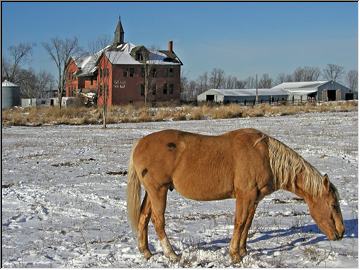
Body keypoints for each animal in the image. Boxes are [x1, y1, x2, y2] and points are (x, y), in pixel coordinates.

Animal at [126, 127, 344, 262]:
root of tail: (140, 143)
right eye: (333, 205)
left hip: (152, 192)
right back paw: (172, 255)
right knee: (158, 220)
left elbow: (247, 224)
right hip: (158, 191)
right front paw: (234, 255)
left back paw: (146, 252)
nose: (341, 234)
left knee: (144, 217)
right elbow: (239, 223)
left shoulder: (254, 199)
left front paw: (243, 251)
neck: (265, 156)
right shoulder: (244, 195)